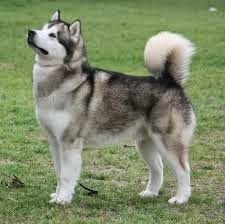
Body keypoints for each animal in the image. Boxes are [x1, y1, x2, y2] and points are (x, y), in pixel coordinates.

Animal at [26, 11, 195, 206]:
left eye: (53, 35)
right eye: (42, 28)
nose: (30, 32)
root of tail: (170, 81)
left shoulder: (69, 142)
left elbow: (67, 176)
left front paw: (63, 199)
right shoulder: (54, 142)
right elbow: (59, 173)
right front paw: (58, 195)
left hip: (168, 142)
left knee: (184, 170)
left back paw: (181, 198)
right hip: (145, 143)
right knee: (158, 169)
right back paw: (150, 193)